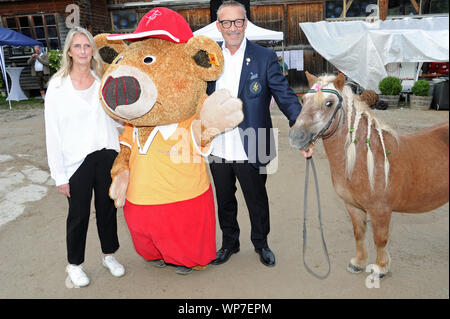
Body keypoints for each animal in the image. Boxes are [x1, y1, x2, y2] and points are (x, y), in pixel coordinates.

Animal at [290, 71, 448, 278]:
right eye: (304, 100)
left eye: (329, 103)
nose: (296, 137)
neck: (366, 158)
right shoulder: (353, 206)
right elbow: (359, 233)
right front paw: (358, 262)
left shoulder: (380, 210)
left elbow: (380, 239)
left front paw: (380, 268)